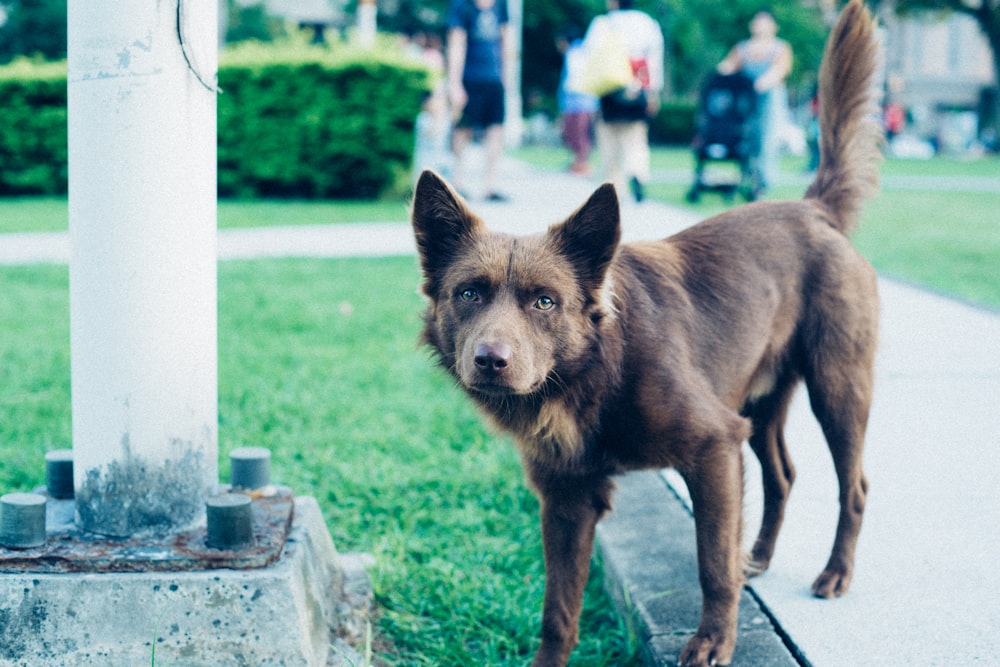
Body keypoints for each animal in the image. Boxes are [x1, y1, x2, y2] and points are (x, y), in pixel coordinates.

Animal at [410, 2, 880, 664]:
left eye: (545, 301)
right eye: (469, 293)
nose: (490, 360)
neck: (596, 367)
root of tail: (814, 209)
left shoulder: (713, 446)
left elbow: (711, 563)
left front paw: (713, 640)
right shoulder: (566, 497)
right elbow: (559, 611)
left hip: (836, 387)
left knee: (853, 484)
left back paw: (834, 573)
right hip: (760, 401)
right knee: (782, 474)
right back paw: (758, 557)